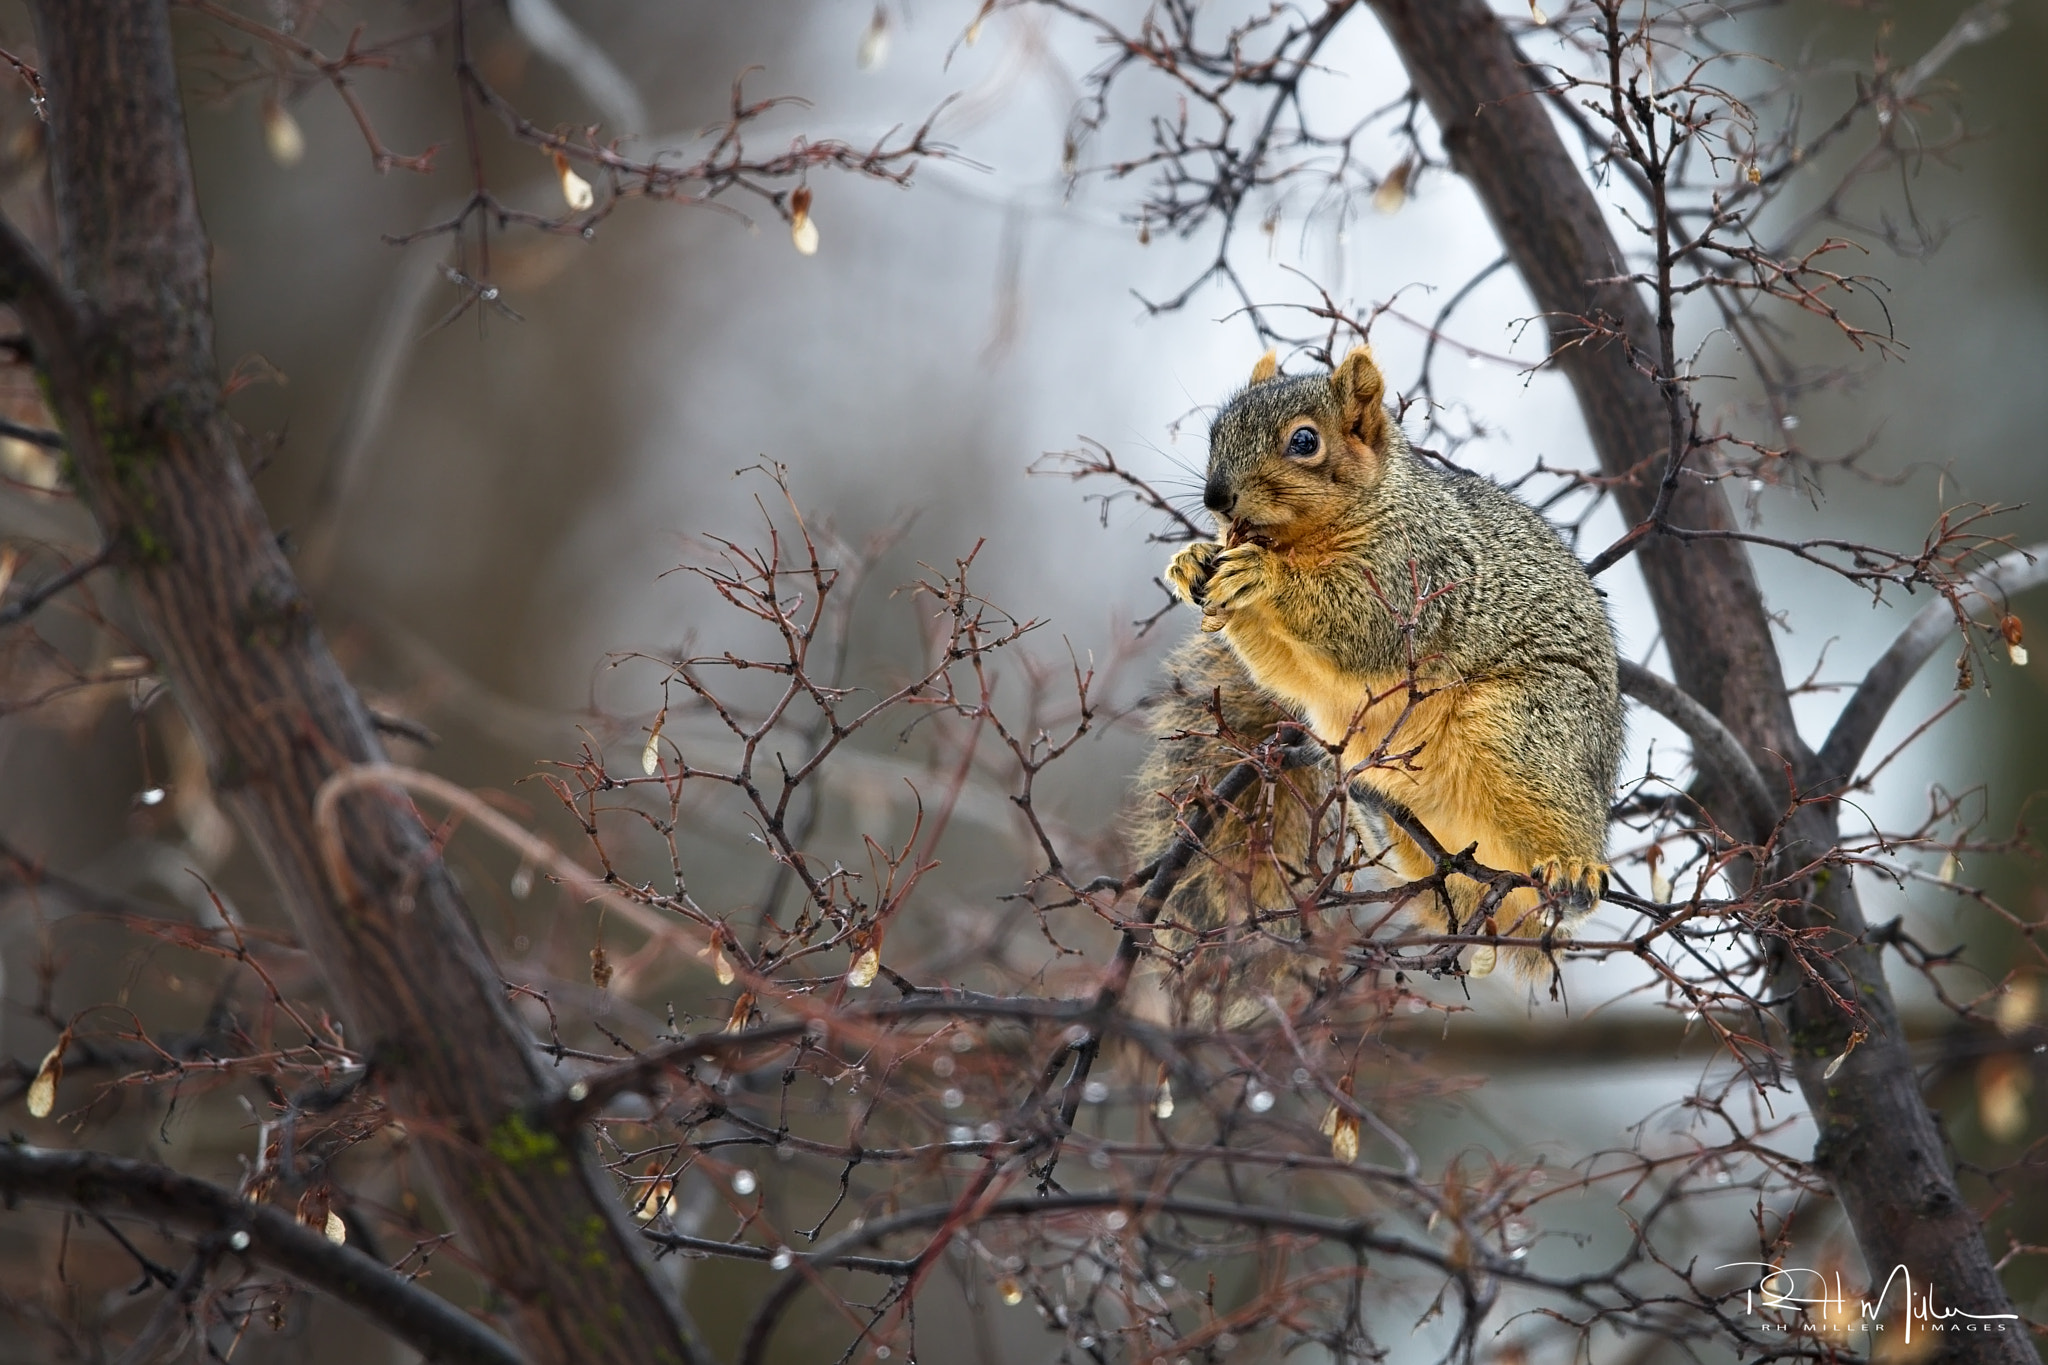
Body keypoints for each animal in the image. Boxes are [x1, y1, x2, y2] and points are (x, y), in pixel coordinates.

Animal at [1146, 343, 1622, 982]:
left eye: (1304, 441)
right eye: (1215, 433)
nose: (1216, 500)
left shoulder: (1417, 573)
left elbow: (1362, 624)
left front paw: (1263, 577)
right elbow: (1285, 670)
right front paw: (1193, 561)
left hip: (1529, 728)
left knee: (1564, 815)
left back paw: (1574, 867)